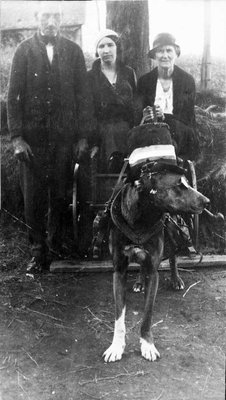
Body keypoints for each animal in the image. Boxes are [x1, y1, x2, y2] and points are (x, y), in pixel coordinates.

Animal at [102, 123, 210, 364]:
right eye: (178, 185)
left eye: (187, 183)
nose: (206, 201)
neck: (141, 218)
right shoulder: (119, 270)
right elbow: (119, 316)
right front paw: (116, 346)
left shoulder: (154, 270)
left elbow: (147, 314)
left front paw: (147, 344)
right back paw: (139, 282)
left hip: (172, 229)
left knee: (173, 255)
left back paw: (176, 278)